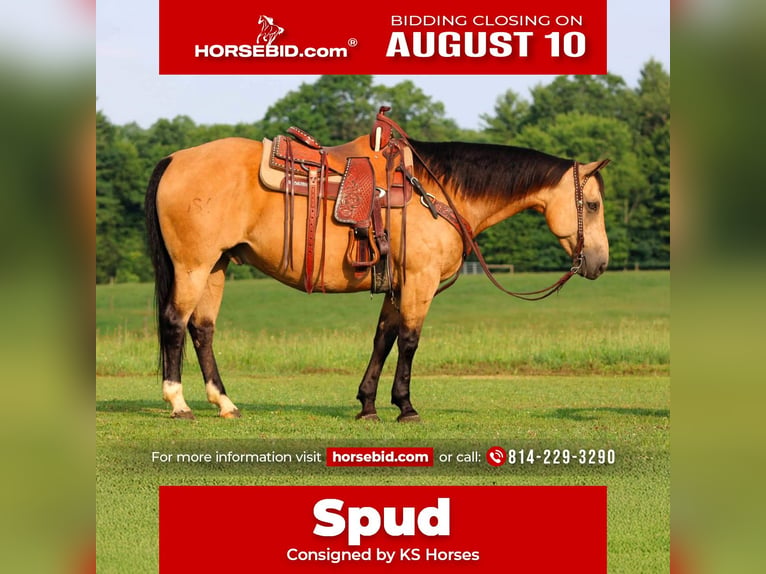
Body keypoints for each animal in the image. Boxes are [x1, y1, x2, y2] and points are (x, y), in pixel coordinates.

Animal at [144, 113, 610, 422]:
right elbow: (409, 341)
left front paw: (367, 404)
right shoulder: (419, 281)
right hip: (193, 266)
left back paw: (224, 403)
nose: (600, 262)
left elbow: (383, 339)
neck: (435, 190)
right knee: (174, 322)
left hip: (216, 267)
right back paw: (178, 402)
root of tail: (174, 159)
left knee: (202, 330)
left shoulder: (397, 285)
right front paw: (405, 406)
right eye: (591, 204)